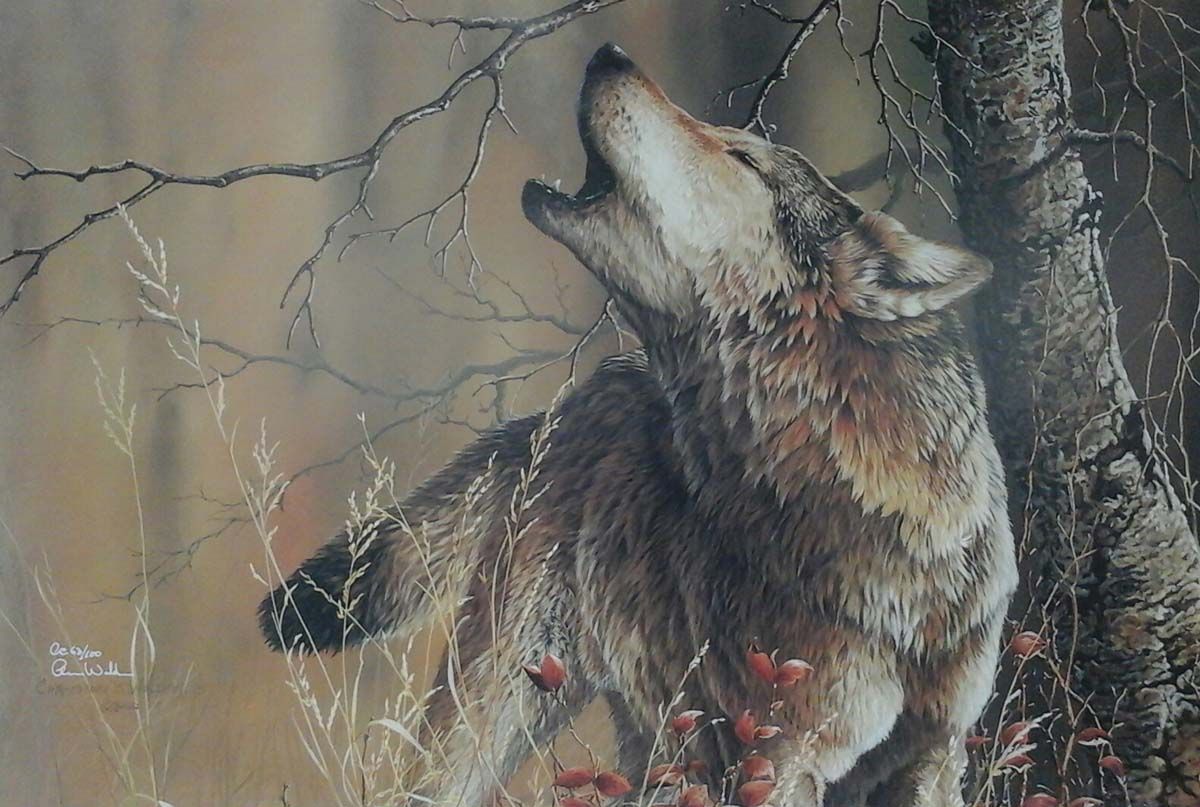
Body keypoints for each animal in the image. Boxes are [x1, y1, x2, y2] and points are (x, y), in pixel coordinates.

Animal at [259, 44, 1016, 807]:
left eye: (742, 157)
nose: (609, 52)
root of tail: (578, 396)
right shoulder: (774, 759)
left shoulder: (933, 754)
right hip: (499, 712)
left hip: (658, 740)